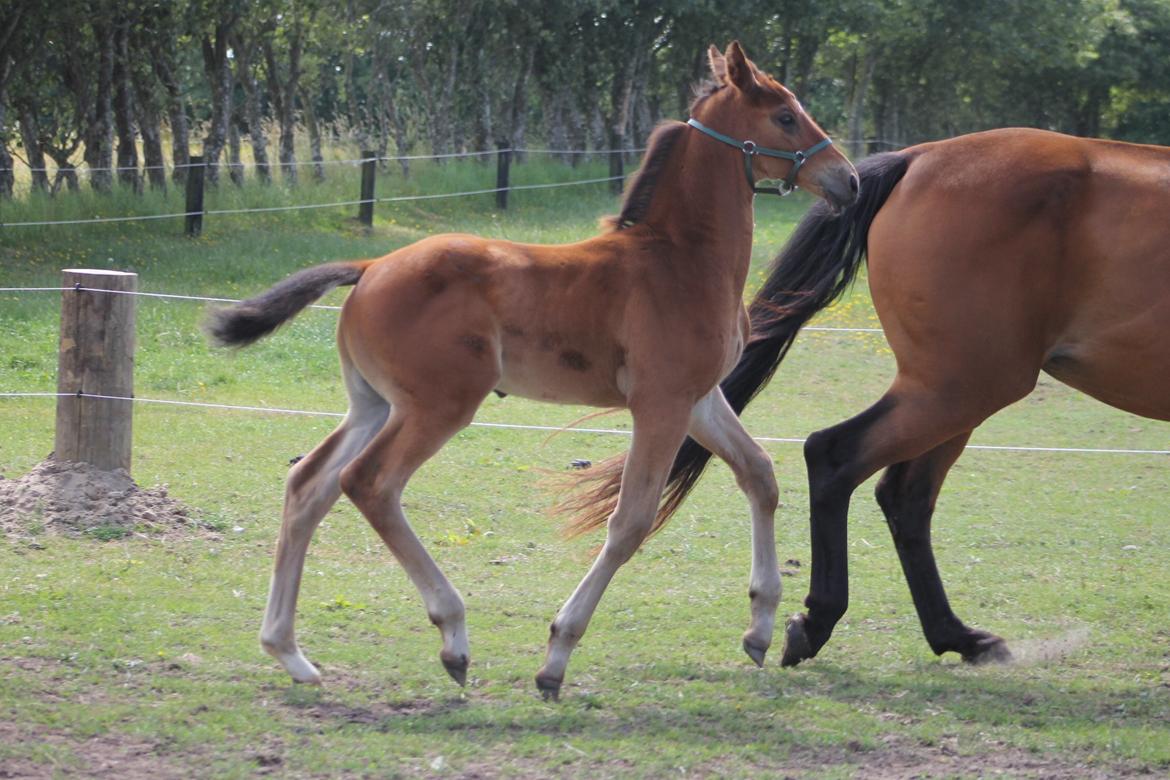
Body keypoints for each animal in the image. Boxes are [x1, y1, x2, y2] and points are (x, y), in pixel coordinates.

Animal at [203, 44, 861, 701]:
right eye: (784, 116)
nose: (848, 179)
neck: (678, 258)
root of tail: (369, 267)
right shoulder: (662, 404)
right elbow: (630, 522)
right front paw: (556, 657)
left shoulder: (699, 399)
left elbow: (760, 474)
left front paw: (760, 627)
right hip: (438, 406)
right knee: (368, 483)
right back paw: (453, 636)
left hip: (374, 405)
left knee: (307, 484)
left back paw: (289, 652)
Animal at [627, 128, 1170, 673]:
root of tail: (916, 158)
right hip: (958, 389)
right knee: (835, 456)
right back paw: (819, 622)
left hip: (955, 395)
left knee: (903, 496)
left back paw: (958, 637)